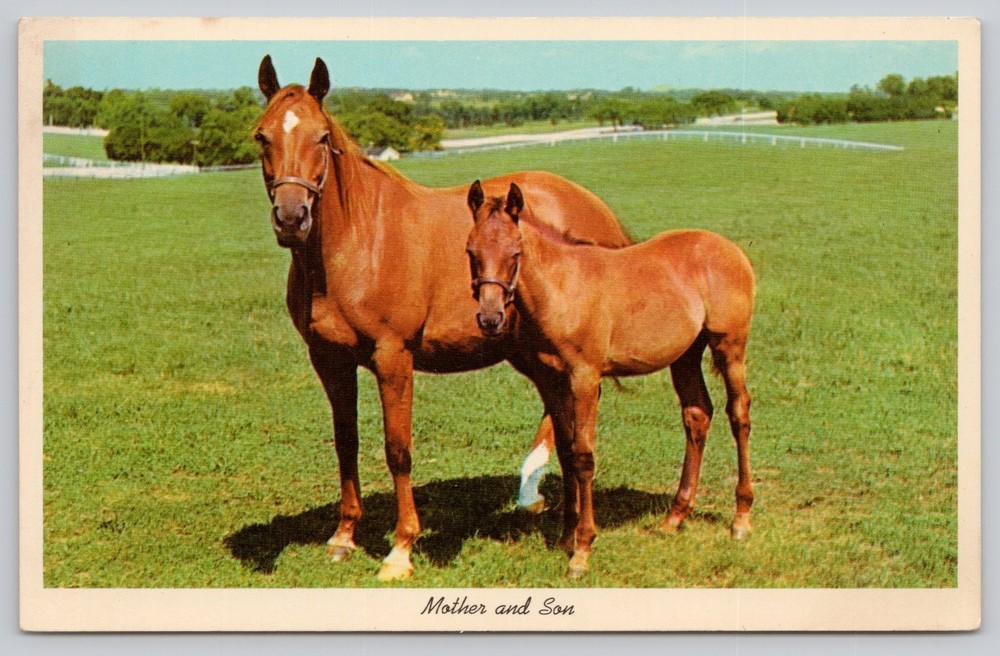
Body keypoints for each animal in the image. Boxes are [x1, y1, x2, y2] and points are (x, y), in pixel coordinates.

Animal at [253, 56, 634, 580]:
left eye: (322, 136)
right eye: (262, 136)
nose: (292, 218)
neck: (358, 241)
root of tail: (593, 206)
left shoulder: (393, 358)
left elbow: (398, 450)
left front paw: (400, 549)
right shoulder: (329, 360)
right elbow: (346, 442)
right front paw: (344, 536)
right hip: (532, 355)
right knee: (562, 421)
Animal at [465, 181, 756, 577]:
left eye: (515, 251)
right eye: (471, 251)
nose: (491, 318)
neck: (562, 286)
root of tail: (730, 249)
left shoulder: (585, 378)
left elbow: (584, 456)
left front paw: (583, 550)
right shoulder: (552, 381)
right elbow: (567, 453)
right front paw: (566, 537)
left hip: (730, 346)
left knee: (738, 413)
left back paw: (741, 519)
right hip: (685, 356)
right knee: (697, 414)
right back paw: (674, 518)